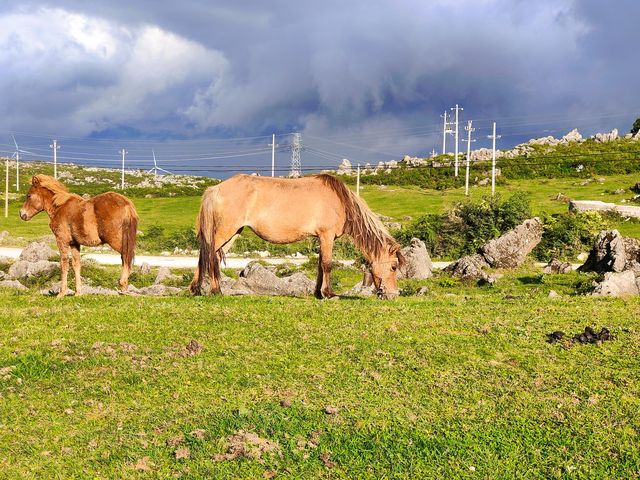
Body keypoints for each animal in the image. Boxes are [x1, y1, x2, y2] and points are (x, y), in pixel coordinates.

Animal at [190, 172, 404, 300]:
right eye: (394, 266)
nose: (393, 294)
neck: (340, 201)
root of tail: (215, 189)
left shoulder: (322, 238)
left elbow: (320, 266)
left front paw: (318, 293)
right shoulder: (326, 236)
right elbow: (327, 264)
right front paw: (329, 294)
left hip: (233, 233)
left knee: (213, 256)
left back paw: (207, 290)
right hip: (224, 231)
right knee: (205, 255)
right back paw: (204, 290)